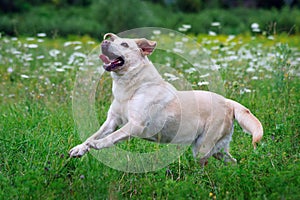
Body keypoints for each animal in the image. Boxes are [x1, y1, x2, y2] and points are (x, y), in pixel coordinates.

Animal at [68, 33, 262, 166]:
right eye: (112, 40)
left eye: (124, 44)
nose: (104, 42)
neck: (130, 87)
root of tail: (229, 102)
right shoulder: (112, 121)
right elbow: (94, 134)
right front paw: (80, 148)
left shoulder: (136, 125)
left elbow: (111, 137)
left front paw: (97, 144)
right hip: (216, 148)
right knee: (232, 161)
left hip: (203, 147)